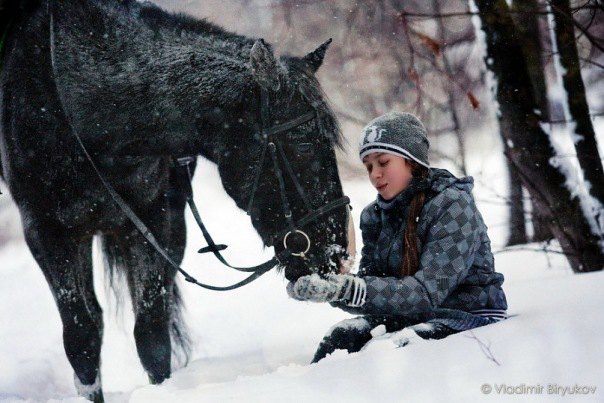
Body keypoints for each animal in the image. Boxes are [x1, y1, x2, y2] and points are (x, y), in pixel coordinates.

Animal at [0, 1, 350, 402]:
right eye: (305, 144)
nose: (337, 254)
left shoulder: (156, 221)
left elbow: (152, 334)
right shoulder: (47, 234)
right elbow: (82, 339)